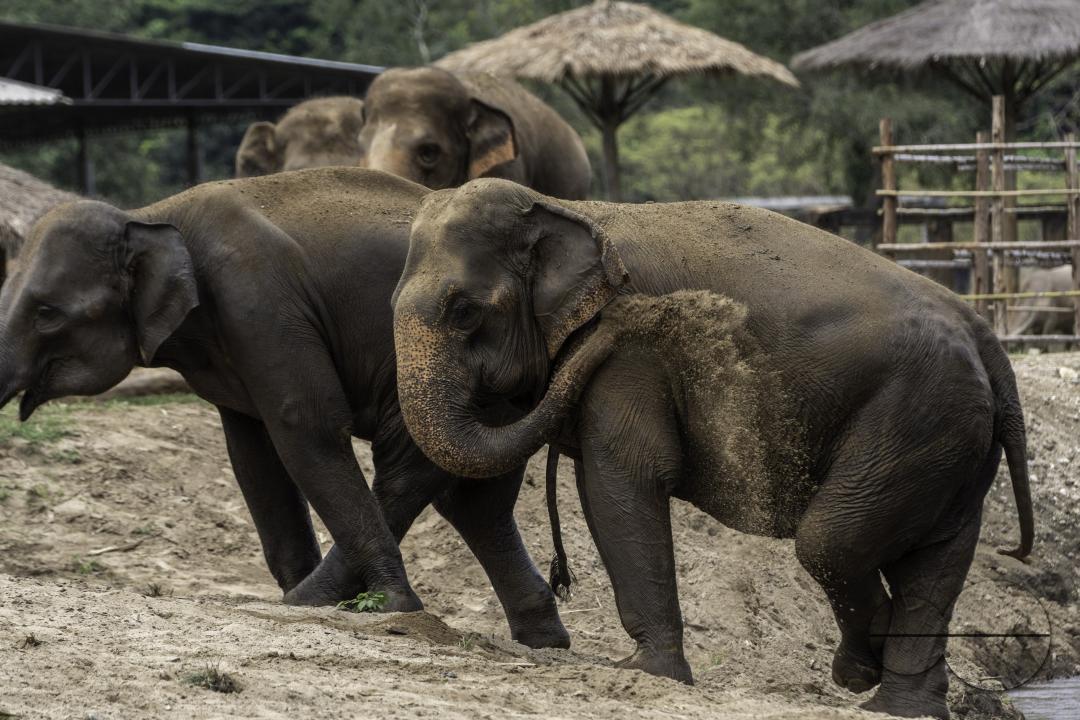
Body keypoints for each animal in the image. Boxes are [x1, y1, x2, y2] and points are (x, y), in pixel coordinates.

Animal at [0, 168, 569, 649]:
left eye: (47, 313)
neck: (149, 214)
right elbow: (253, 456)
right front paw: (302, 596)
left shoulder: (259, 301)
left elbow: (304, 425)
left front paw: (382, 607)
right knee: (476, 501)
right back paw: (543, 641)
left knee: (414, 470)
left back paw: (336, 601)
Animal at [390, 179, 1034, 720]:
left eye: (464, 311)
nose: (635, 317)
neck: (566, 207)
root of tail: (988, 340)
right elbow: (609, 489)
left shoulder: (632, 363)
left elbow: (623, 478)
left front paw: (646, 672)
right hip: (948, 441)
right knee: (934, 557)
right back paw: (897, 704)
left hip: (915, 421)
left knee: (833, 542)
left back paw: (859, 674)